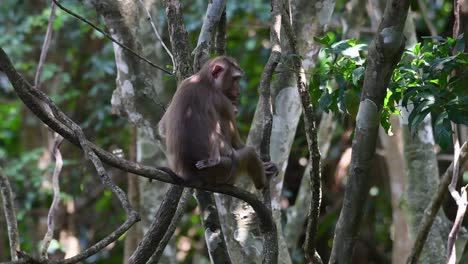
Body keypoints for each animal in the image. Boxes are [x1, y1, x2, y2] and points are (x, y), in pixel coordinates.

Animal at [159, 55, 276, 189]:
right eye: (235, 79)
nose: (238, 91)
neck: (204, 80)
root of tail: (188, 175)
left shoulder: (185, 82)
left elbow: (161, 129)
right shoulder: (224, 102)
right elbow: (237, 143)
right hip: (224, 171)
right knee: (248, 154)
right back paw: (263, 182)